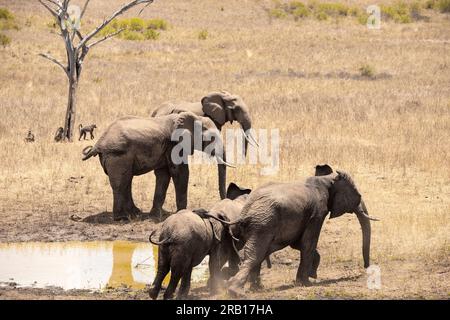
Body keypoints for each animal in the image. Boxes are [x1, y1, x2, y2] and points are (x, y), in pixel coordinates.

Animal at [81, 112, 234, 220]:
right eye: (212, 138)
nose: (222, 205)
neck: (194, 117)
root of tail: (98, 144)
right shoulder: (174, 145)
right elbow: (180, 172)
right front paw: (182, 213)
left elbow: (163, 175)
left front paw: (155, 215)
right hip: (117, 156)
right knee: (120, 183)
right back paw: (122, 218)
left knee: (127, 180)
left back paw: (135, 213)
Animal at [227, 165, 378, 298]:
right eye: (358, 195)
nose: (367, 267)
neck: (326, 179)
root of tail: (245, 212)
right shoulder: (317, 212)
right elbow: (308, 242)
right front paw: (306, 283)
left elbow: (298, 243)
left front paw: (312, 275)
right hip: (263, 223)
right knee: (255, 254)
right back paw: (236, 291)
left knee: (257, 253)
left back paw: (257, 288)